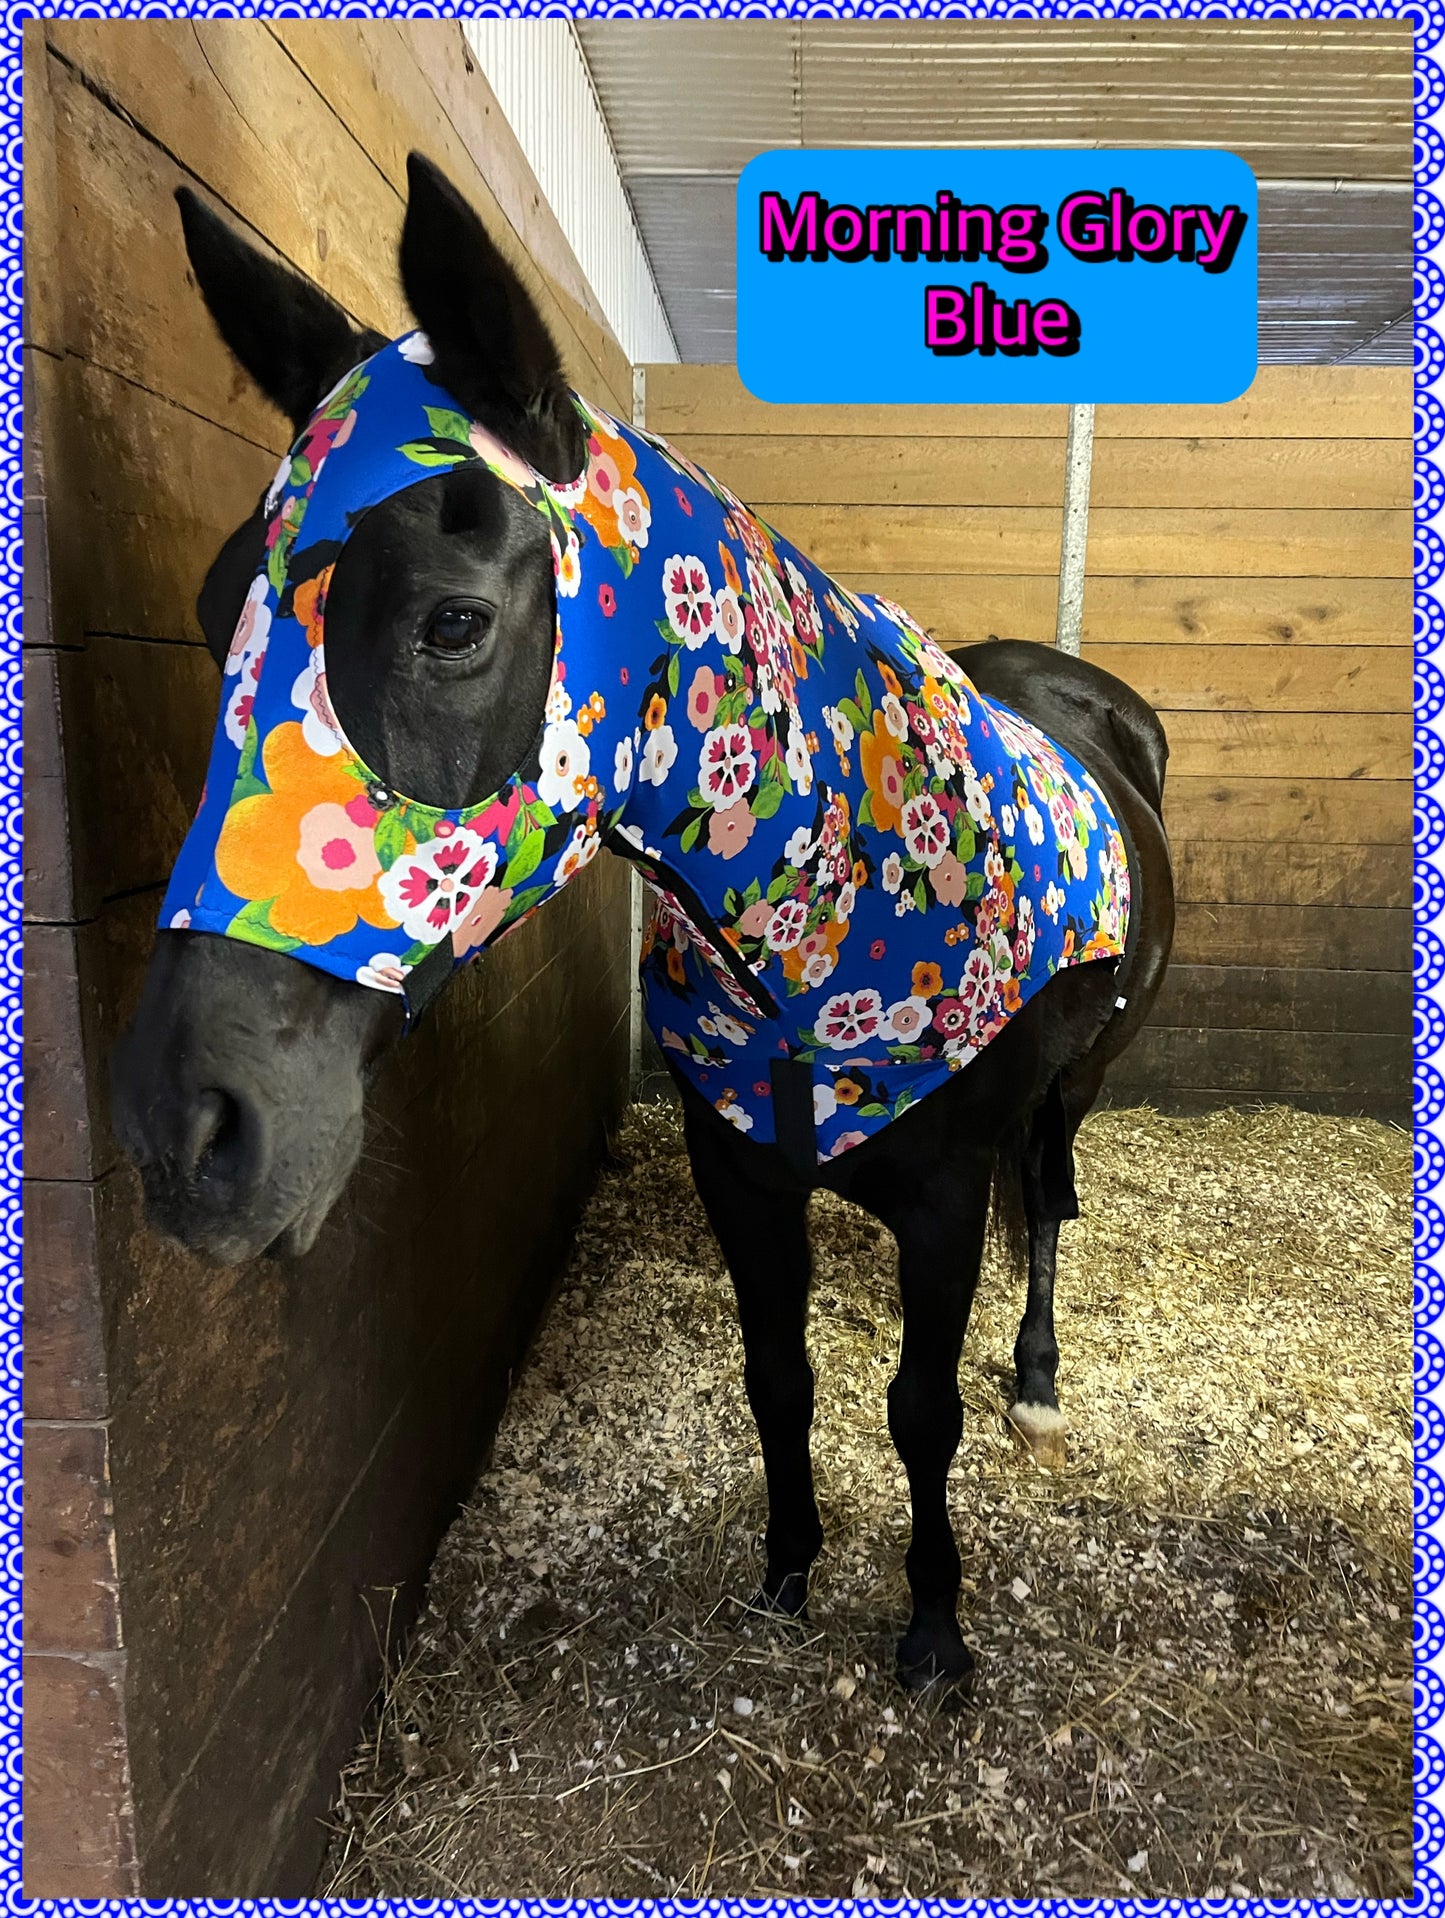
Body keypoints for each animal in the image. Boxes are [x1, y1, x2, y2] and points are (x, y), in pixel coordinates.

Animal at [110, 154, 1175, 1694]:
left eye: (451, 622)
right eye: (209, 617)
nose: (185, 1131)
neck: (822, 930)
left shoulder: (937, 1202)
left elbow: (920, 1407)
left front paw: (931, 1621)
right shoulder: (741, 1177)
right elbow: (778, 1376)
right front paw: (788, 1568)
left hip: (1070, 1089)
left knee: (1043, 1199)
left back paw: (1033, 1377)